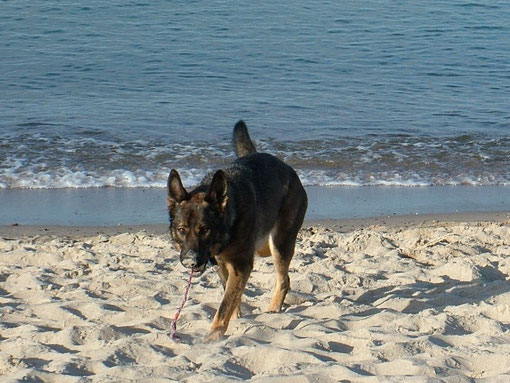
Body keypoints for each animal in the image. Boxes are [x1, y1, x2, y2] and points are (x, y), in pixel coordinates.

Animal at [168, 120, 306, 342]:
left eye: (204, 229)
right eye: (181, 230)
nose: (190, 262)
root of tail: (287, 169)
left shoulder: (241, 265)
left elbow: (225, 304)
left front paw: (214, 335)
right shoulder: (221, 264)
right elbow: (230, 295)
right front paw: (235, 318)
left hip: (280, 244)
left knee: (284, 279)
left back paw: (274, 307)